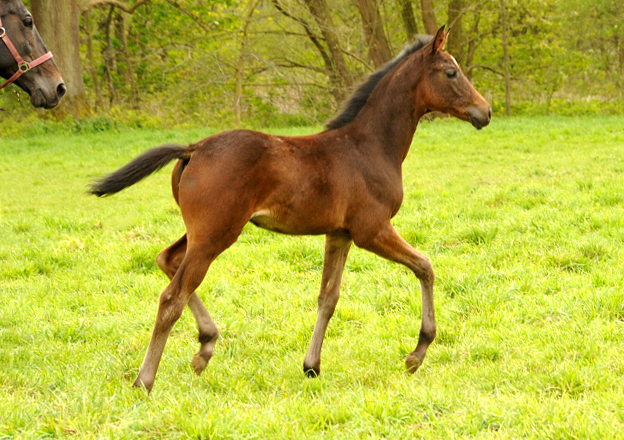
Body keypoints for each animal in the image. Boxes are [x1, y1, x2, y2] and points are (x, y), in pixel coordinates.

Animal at [92, 26, 492, 392]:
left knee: (167, 259)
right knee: (172, 296)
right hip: (216, 233)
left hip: (203, 231)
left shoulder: (340, 233)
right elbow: (425, 266)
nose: (485, 112)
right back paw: (144, 380)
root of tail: (194, 149)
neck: (370, 145)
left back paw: (206, 345)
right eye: (451, 72)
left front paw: (311, 366)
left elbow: (328, 297)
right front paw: (417, 354)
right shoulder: (372, 229)